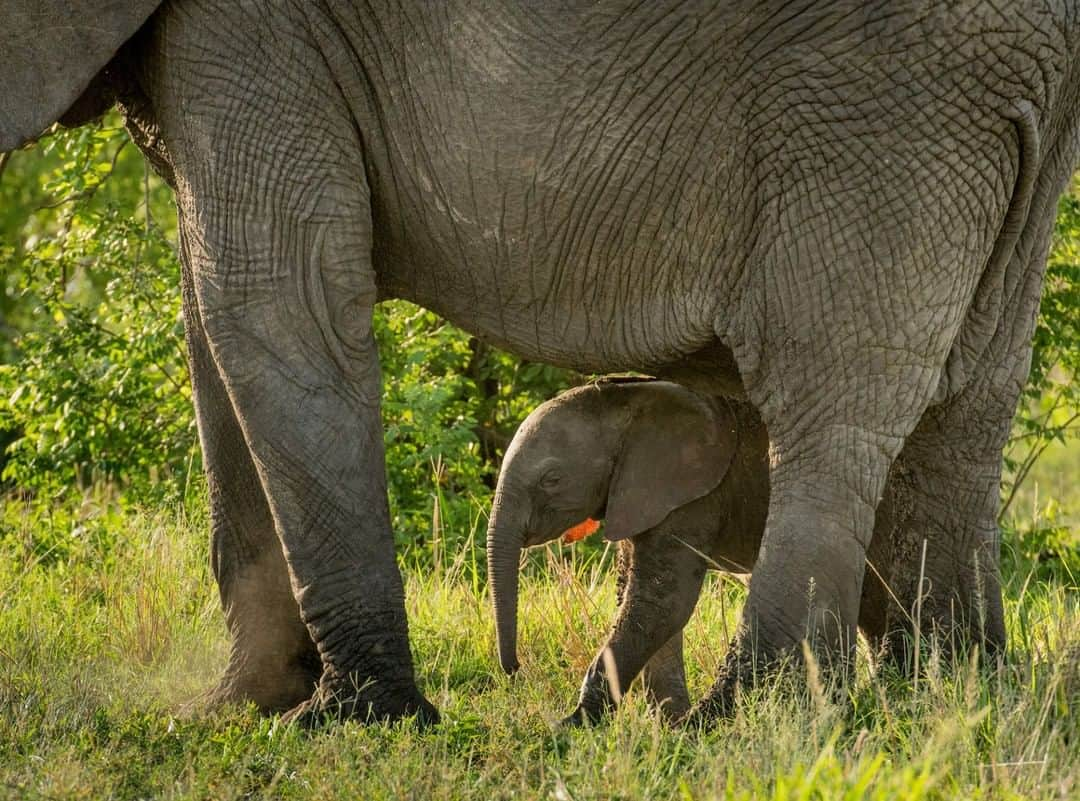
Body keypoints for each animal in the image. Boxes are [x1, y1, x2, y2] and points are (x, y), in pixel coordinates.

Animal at [490, 379, 768, 725]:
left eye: (551, 479)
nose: (515, 669)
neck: (630, 402)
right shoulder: (637, 494)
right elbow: (636, 597)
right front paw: (671, 723)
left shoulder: (690, 495)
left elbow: (660, 603)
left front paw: (574, 723)